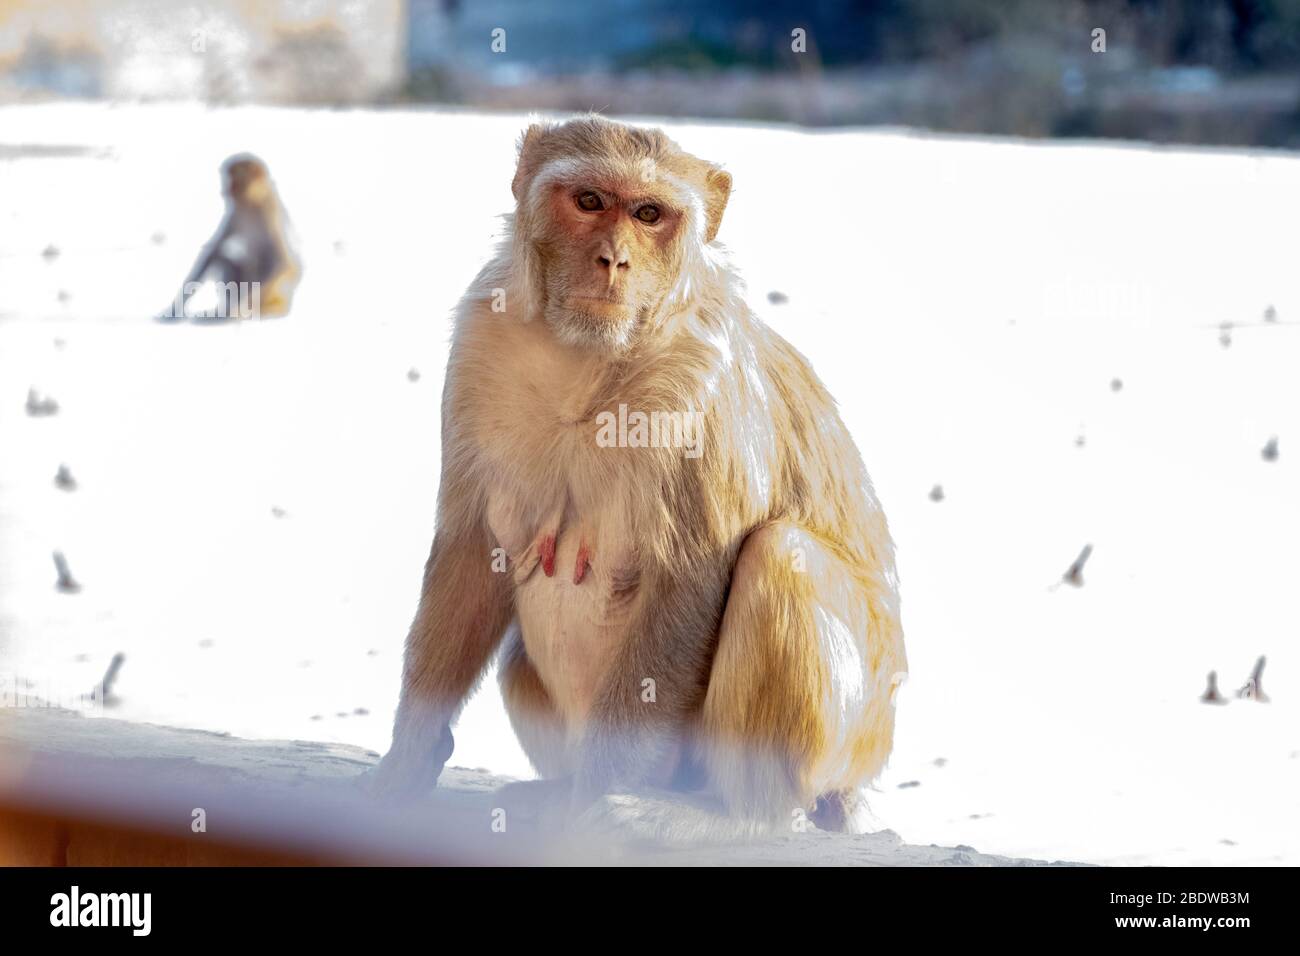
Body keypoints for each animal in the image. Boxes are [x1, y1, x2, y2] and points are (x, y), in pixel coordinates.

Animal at [165, 154, 299, 321]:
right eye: (229, 177)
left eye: (235, 178)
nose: (227, 189)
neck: (253, 200)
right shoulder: (238, 210)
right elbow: (215, 249)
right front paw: (175, 308)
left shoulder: (269, 209)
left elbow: (282, 261)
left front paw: (235, 311)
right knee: (224, 258)